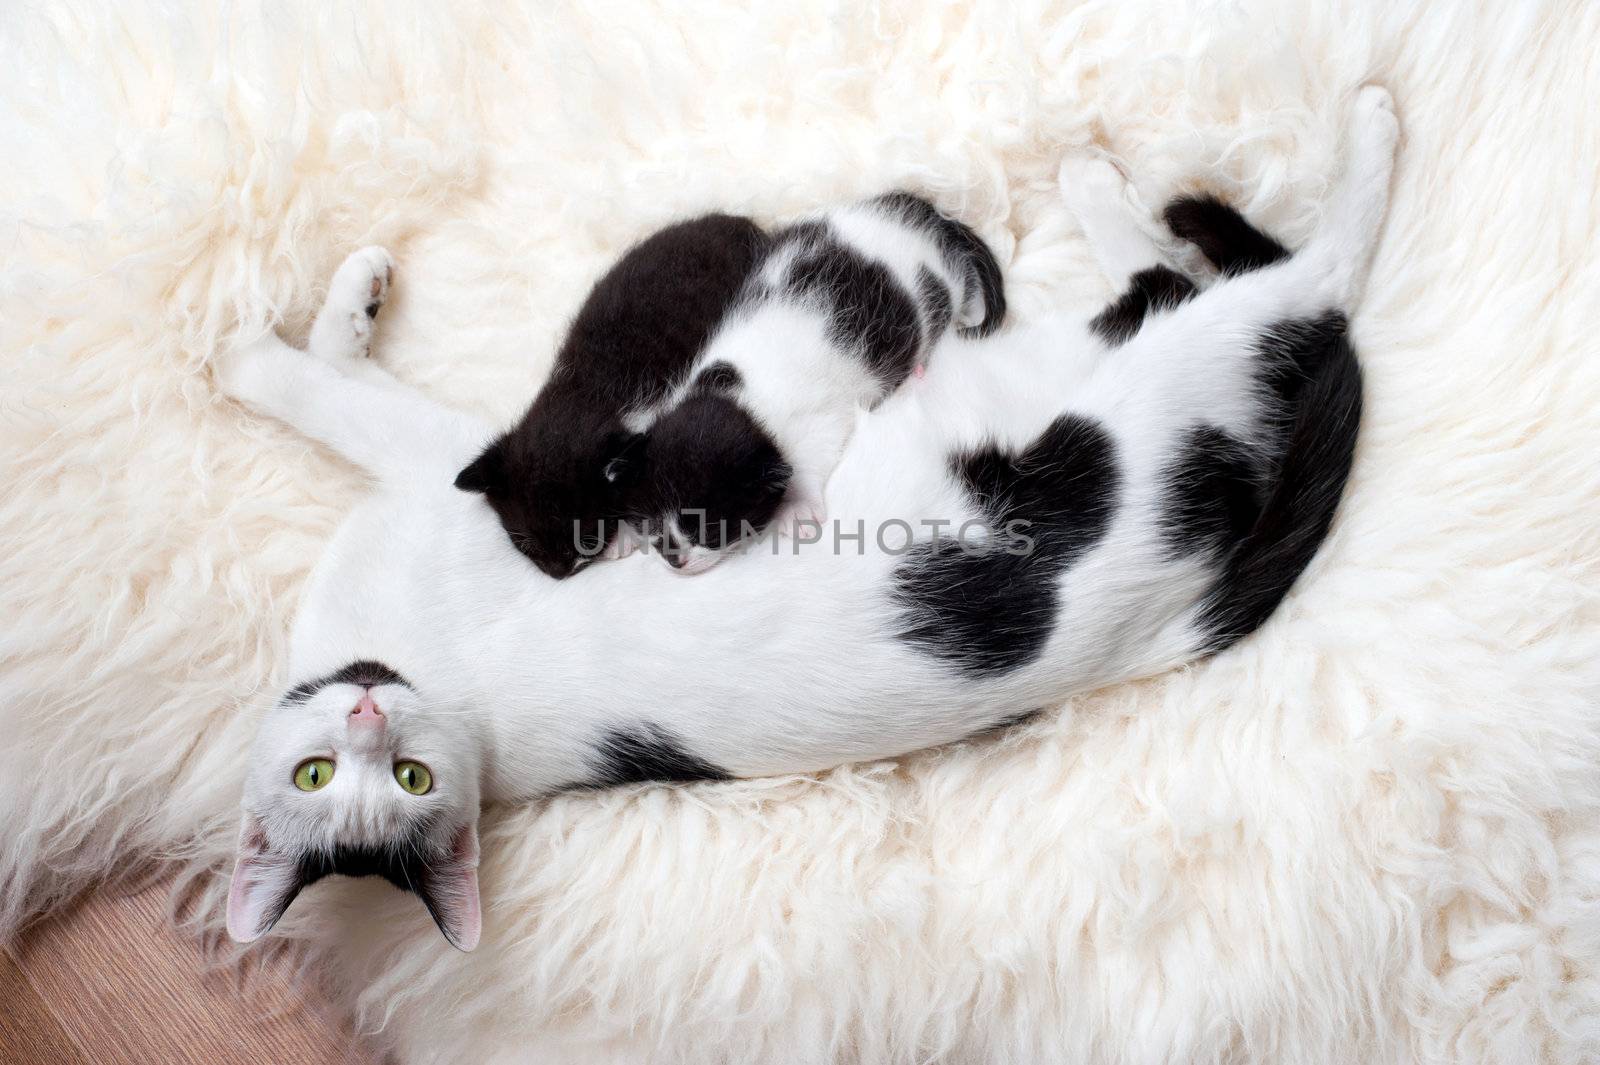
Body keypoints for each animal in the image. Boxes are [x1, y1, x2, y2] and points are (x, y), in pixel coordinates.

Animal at [216, 89, 1401, 946]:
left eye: (397, 777)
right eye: (325, 777)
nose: (365, 714)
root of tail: (1187, 609)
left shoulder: (473, 472)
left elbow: (314, 384)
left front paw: (314, 318)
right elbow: (318, 387)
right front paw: (302, 331)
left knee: (1267, 275)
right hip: (1160, 364)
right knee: (1263, 280)